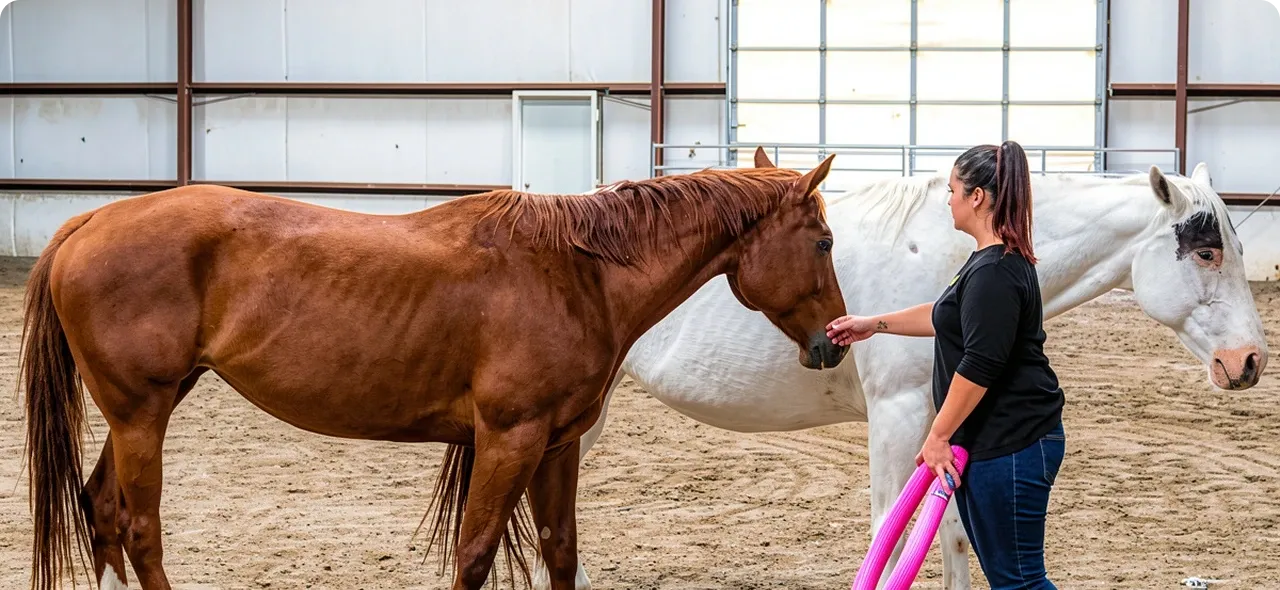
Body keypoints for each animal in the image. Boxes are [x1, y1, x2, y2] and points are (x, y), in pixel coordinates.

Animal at [19, 154, 853, 590]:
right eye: (822, 242)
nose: (835, 342)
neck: (578, 274)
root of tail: (91, 220)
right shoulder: (510, 441)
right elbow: (476, 552)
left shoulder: (556, 446)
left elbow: (559, 549)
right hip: (141, 414)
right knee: (139, 528)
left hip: (143, 409)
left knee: (101, 513)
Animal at [532, 148, 1269, 590]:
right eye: (1206, 252)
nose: (1249, 361)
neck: (947, 251)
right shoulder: (895, 415)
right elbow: (889, 529)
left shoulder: (943, 425)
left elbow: (951, 534)